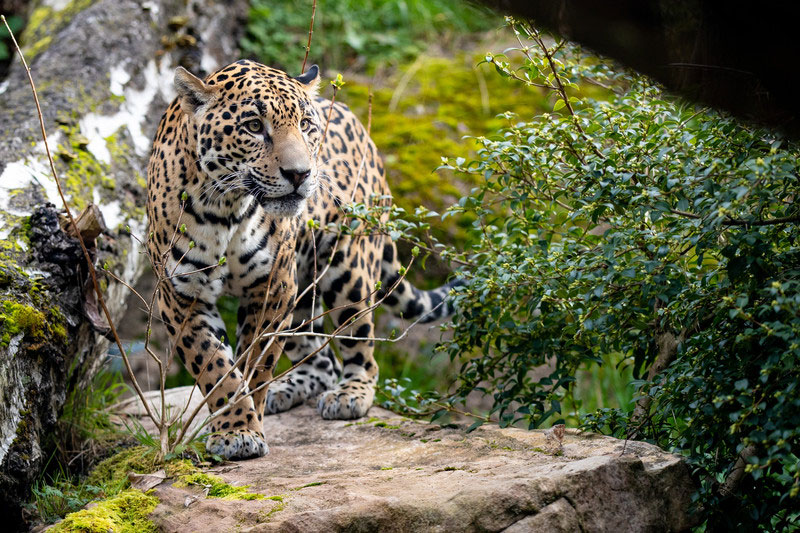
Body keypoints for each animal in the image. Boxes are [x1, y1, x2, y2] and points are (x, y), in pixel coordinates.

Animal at [146, 59, 459, 460]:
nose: (300, 174)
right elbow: (214, 366)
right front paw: (236, 429)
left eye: (306, 125)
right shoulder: (182, 296)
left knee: (360, 350)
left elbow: (256, 363)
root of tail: (366, 136)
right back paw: (288, 390)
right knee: (322, 361)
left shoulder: (271, 288)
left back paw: (349, 396)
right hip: (300, 292)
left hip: (347, 271)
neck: (226, 209)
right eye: (253, 126)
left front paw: (246, 423)